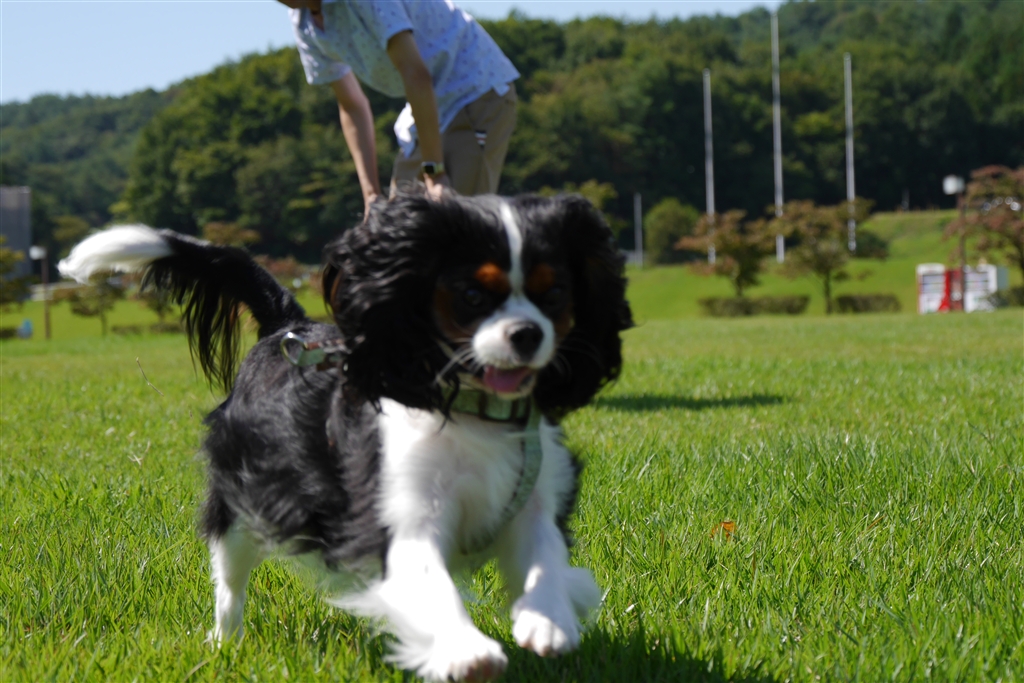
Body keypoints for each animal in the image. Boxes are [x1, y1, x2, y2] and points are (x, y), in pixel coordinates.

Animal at [59, 192, 633, 681]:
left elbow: (544, 554)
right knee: (229, 581)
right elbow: (431, 583)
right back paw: (225, 642)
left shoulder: (534, 494)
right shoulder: (401, 515)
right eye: (472, 295)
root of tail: (287, 327)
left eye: (554, 294)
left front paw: (548, 620)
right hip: (246, 506)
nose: (528, 334)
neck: (476, 411)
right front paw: (464, 649)